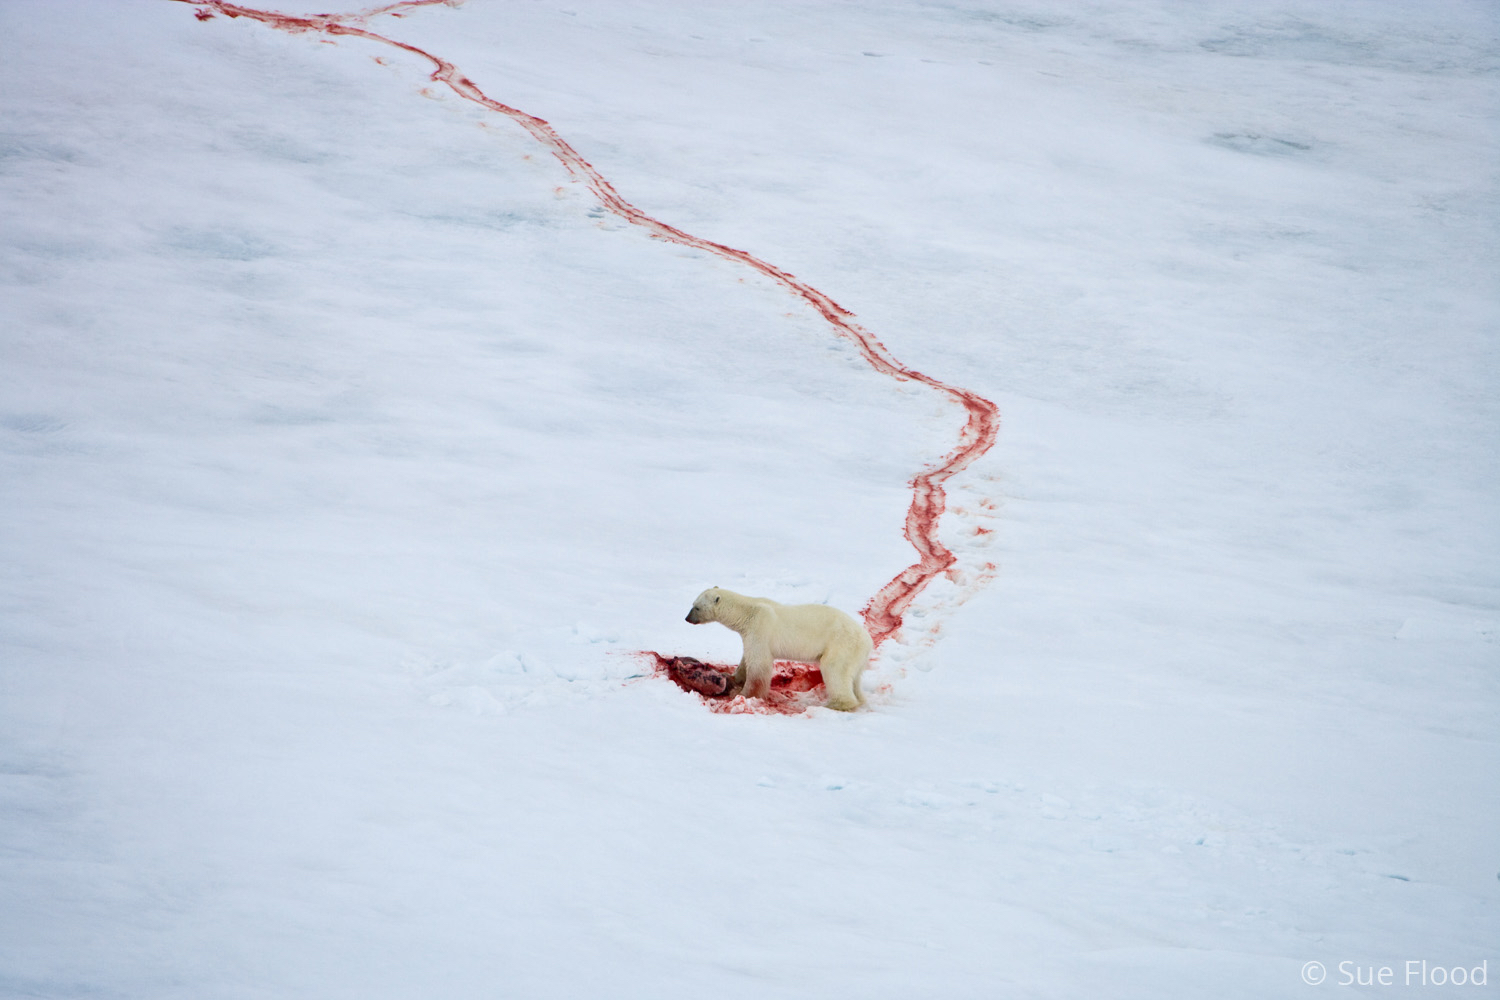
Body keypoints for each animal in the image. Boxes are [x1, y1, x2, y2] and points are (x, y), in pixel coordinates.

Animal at [687, 587, 876, 710]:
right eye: (693, 604)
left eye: (697, 607)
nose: (687, 618)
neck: (748, 611)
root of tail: (867, 640)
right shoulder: (750, 633)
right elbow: (746, 658)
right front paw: (733, 678)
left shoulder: (760, 629)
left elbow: (759, 666)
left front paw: (742, 694)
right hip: (856, 655)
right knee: (853, 678)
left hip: (841, 644)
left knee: (834, 669)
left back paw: (835, 704)